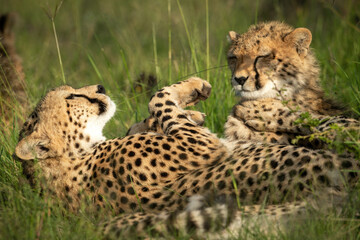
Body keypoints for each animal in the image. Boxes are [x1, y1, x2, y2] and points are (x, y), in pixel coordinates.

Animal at [15, 77, 360, 236]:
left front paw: (186, 104)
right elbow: (158, 99)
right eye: (72, 96)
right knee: (339, 127)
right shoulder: (197, 146)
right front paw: (186, 93)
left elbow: (154, 114)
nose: (100, 87)